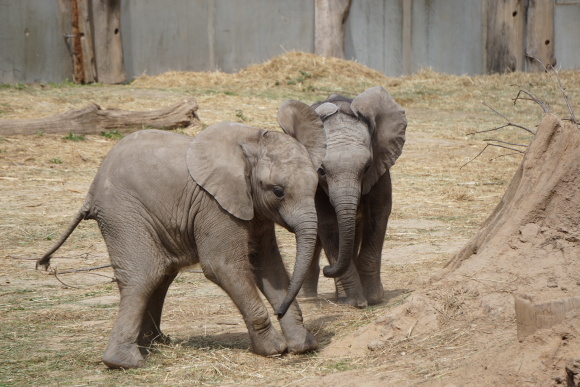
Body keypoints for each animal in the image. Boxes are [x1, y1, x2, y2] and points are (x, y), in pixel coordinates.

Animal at [36, 101, 326, 372]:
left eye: (316, 186)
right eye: (278, 191)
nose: (279, 310)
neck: (250, 143)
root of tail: (91, 192)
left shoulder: (254, 210)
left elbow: (269, 267)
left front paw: (303, 345)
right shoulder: (215, 205)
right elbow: (223, 266)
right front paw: (274, 350)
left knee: (161, 274)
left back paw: (155, 344)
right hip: (122, 213)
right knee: (145, 273)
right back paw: (125, 362)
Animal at [278, 87, 406, 310]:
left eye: (367, 167)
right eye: (321, 170)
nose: (327, 270)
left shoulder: (381, 168)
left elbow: (379, 214)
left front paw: (374, 298)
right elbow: (327, 223)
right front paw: (353, 302)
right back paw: (308, 298)